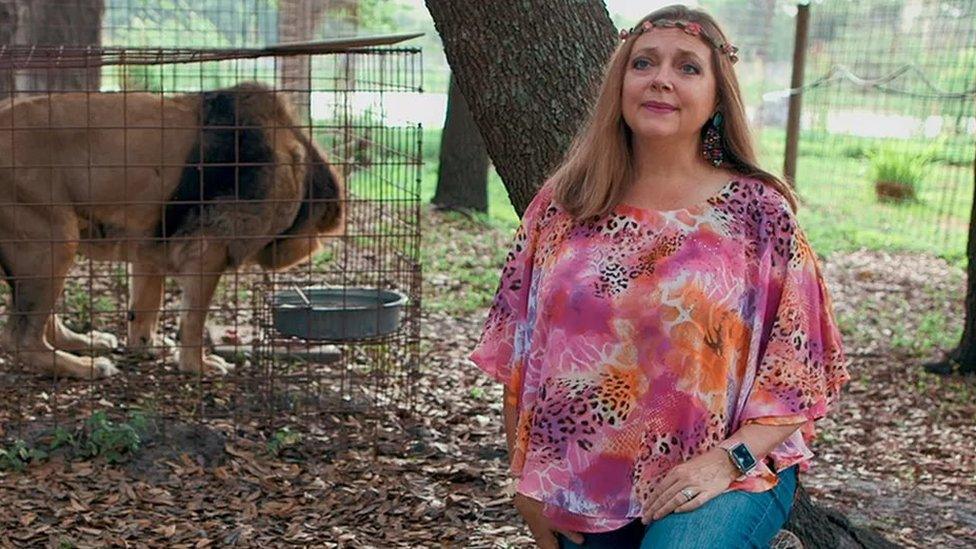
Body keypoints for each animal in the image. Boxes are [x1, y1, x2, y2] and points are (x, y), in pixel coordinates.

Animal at [0, 81, 346, 378]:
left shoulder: (149, 244)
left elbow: (144, 307)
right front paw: (198, 365)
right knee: (21, 338)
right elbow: (193, 320)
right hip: (54, 239)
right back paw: (86, 367)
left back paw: (86, 342)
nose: (308, 247)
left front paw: (146, 346)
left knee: (42, 322)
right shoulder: (209, 249)